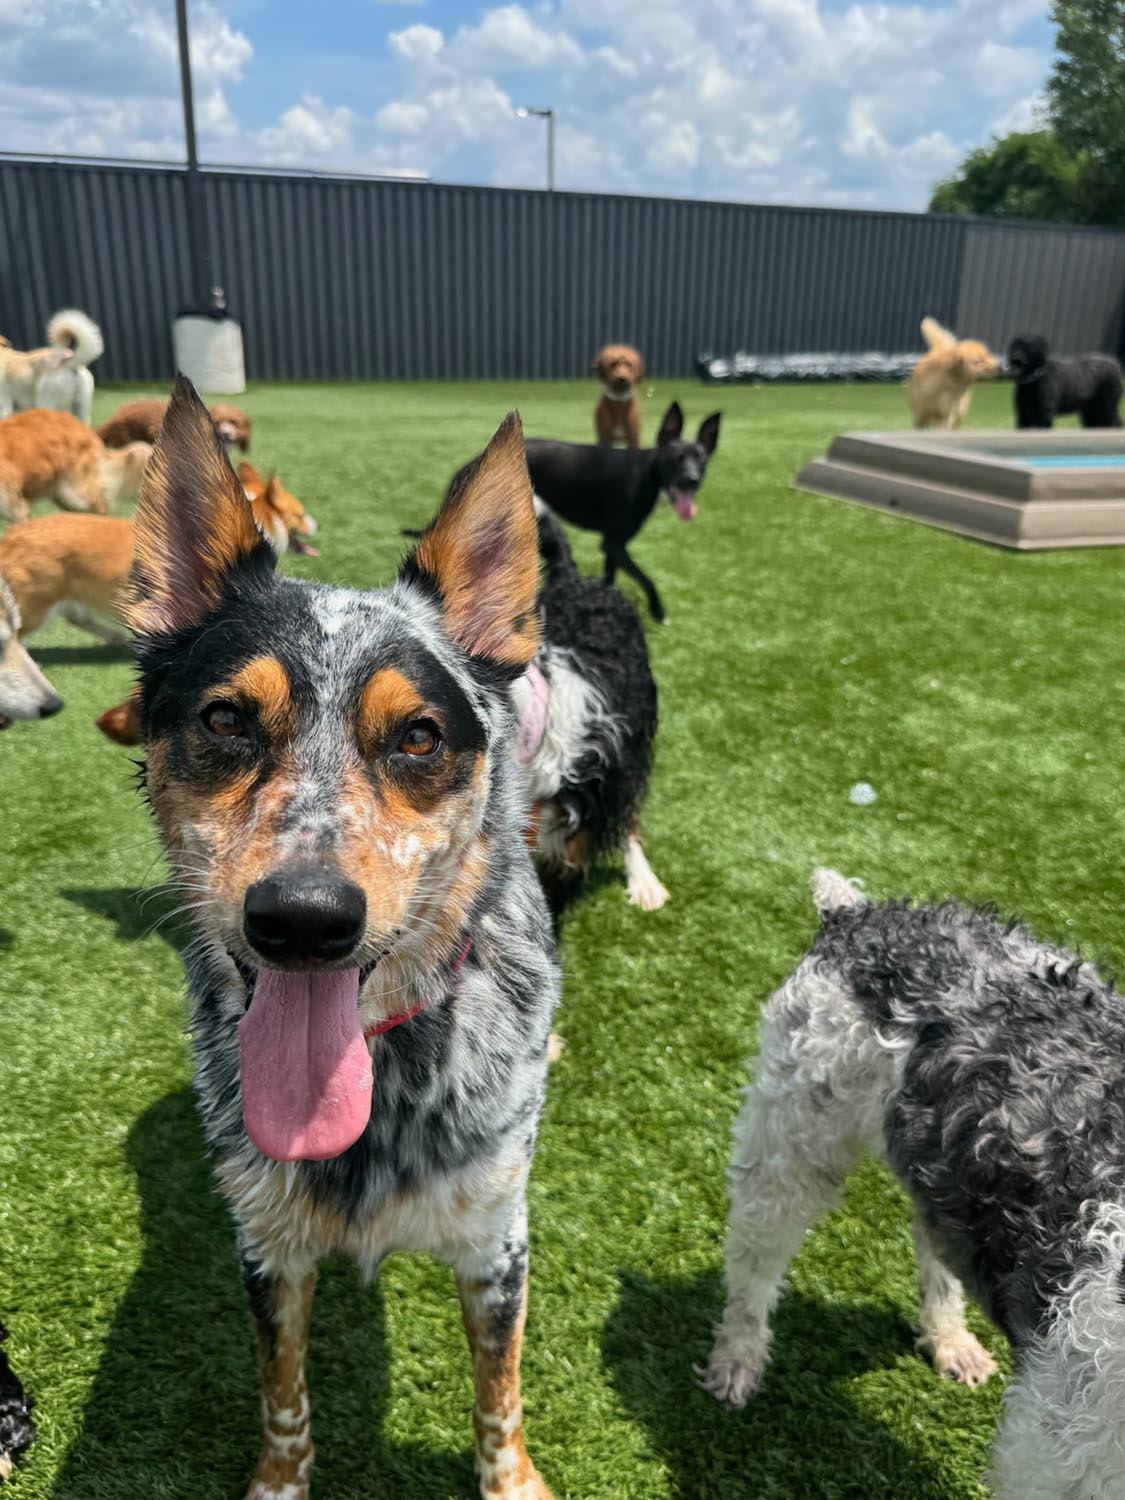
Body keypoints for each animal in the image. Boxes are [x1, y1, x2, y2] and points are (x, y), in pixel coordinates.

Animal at [123, 377, 559, 1500]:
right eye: (227, 720)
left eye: (418, 737)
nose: (304, 919)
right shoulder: (268, 1247)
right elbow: (284, 1396)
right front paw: (280, 1482)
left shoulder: (497, 1243)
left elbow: (499, 1397)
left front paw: (512, 1481)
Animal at [523, 402, 720, 623]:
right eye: (676, 460)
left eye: (701, 463)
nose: (692, 480)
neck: (649, 475)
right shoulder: (614, 544)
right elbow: (647, 580)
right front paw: (658, 612)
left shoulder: (612, 548)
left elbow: (609, 578)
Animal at [701, 867, 1125, 1497]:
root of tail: (857, 911)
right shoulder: (1058, 1452)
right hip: (791, 1147)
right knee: (753, 1268)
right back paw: (737, 1362)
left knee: (932, 1239)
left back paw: (951, 1341)